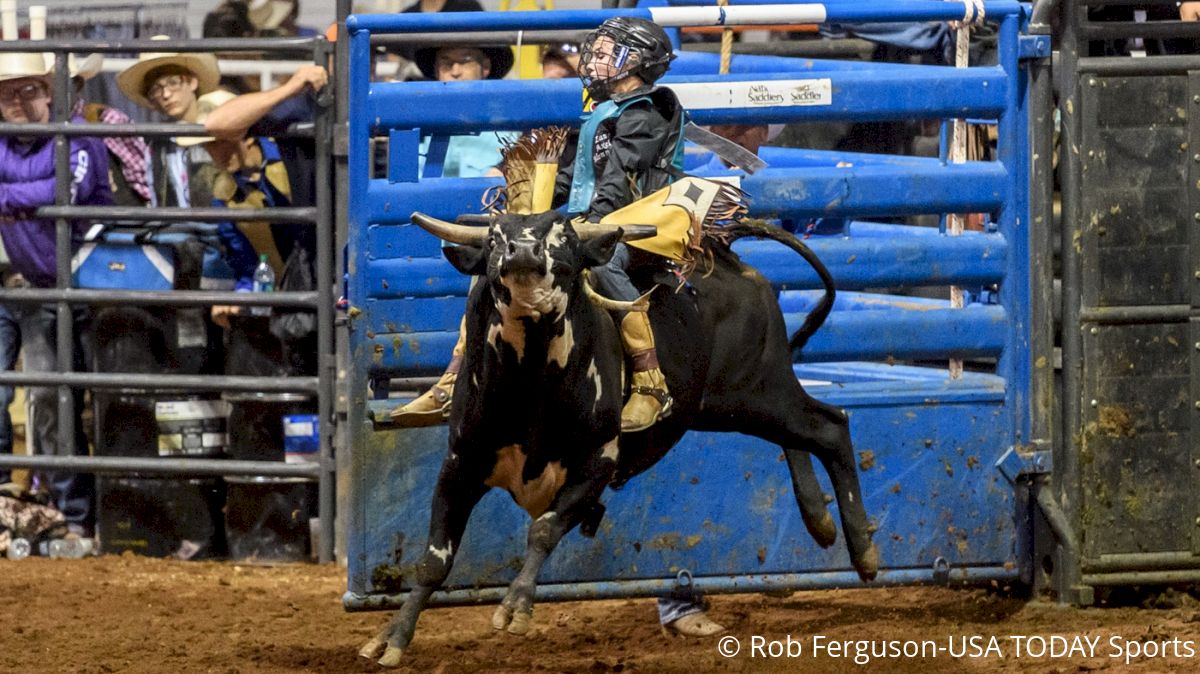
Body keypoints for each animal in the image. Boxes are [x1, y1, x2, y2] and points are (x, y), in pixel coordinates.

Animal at [360, 201, 878, 662]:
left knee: (830, 426)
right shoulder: (460, 465)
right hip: (734, 404)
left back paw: (863, 550)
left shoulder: (596, 464)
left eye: (566, 239)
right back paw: (820, 520)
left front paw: (515, 607)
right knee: (800, 436)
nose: (524, 253)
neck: (529, 387)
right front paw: (391, 639)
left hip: (758, 389)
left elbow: (543, 530)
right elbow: (434, 558)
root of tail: (729, 258)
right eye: (493, 239)